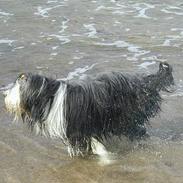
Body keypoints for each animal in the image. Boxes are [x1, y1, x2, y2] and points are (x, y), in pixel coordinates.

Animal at [2, 62, 174, 157]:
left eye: (18, 88)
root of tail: (143, 82)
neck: (50, 96)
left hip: (126, 117)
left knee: (138, 131)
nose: (4, 94)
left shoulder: (80, 127)